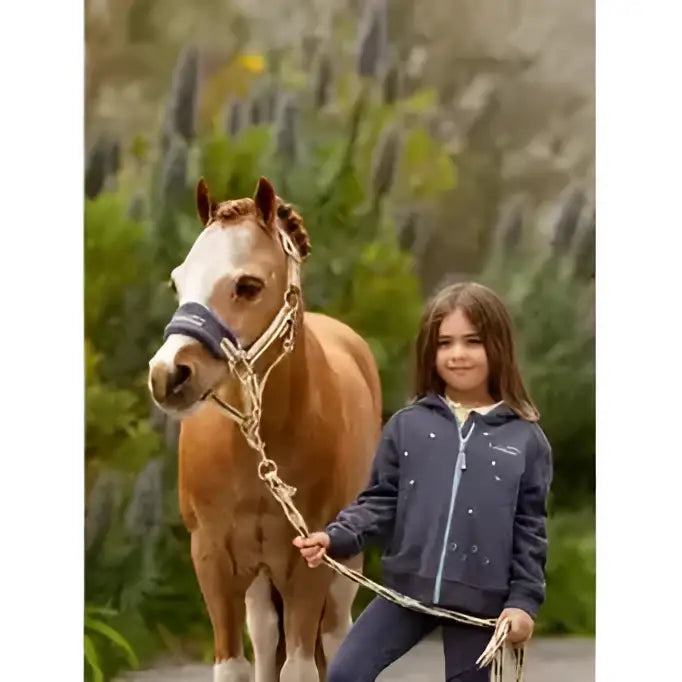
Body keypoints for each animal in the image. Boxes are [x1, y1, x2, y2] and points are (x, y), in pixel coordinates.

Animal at [147, 176, 382, 682]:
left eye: (248, 285)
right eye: (178, 281)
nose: (166, 375)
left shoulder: (310, 561)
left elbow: (299, 667)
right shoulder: (212, 559)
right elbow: (235, 665)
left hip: (342, 565)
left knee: (336, 635)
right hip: (258, 579)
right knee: (265, 632)